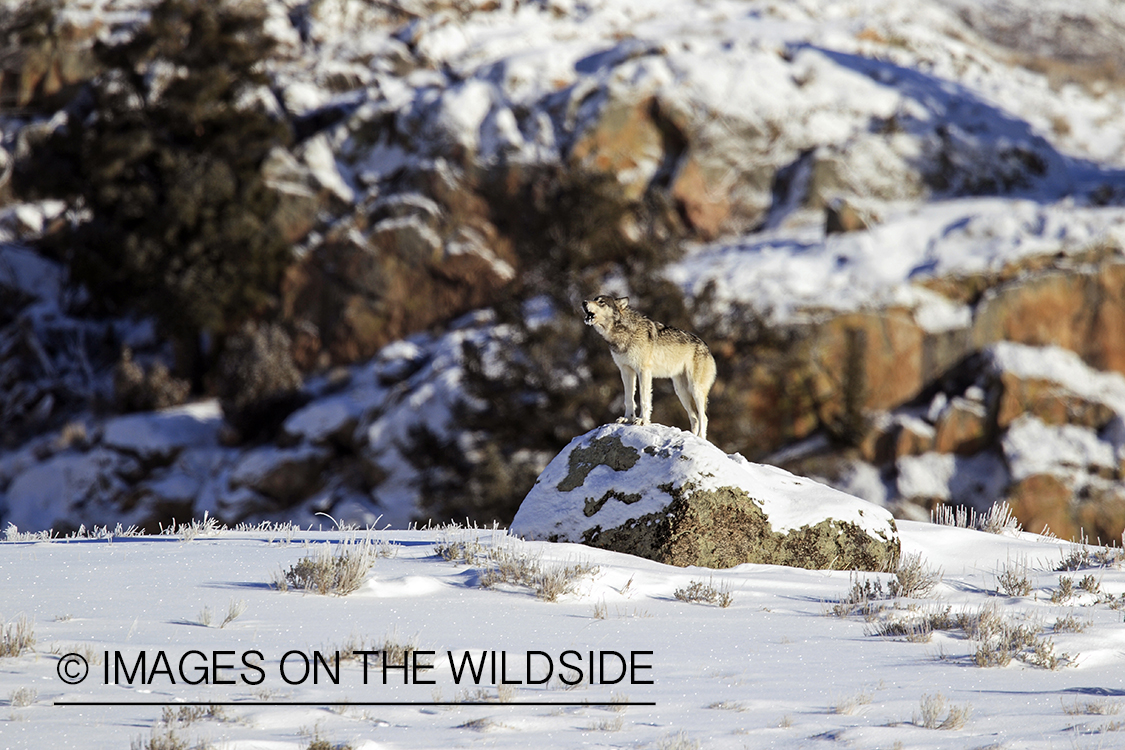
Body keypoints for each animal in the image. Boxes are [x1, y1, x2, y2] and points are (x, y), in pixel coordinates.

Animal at [582, 295, 717, 439]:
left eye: (601, 302)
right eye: (594, 298)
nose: (583, 302)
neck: (625, 332)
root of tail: (706, 347)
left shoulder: (644, 371)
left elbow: (644, 398)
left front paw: (642, 420)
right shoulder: (626, 370)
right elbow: (628, 398)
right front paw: (627, 419)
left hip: (695, 389)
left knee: (703, 417)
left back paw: (701, 438)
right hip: (681, 391)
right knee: (694, 417)